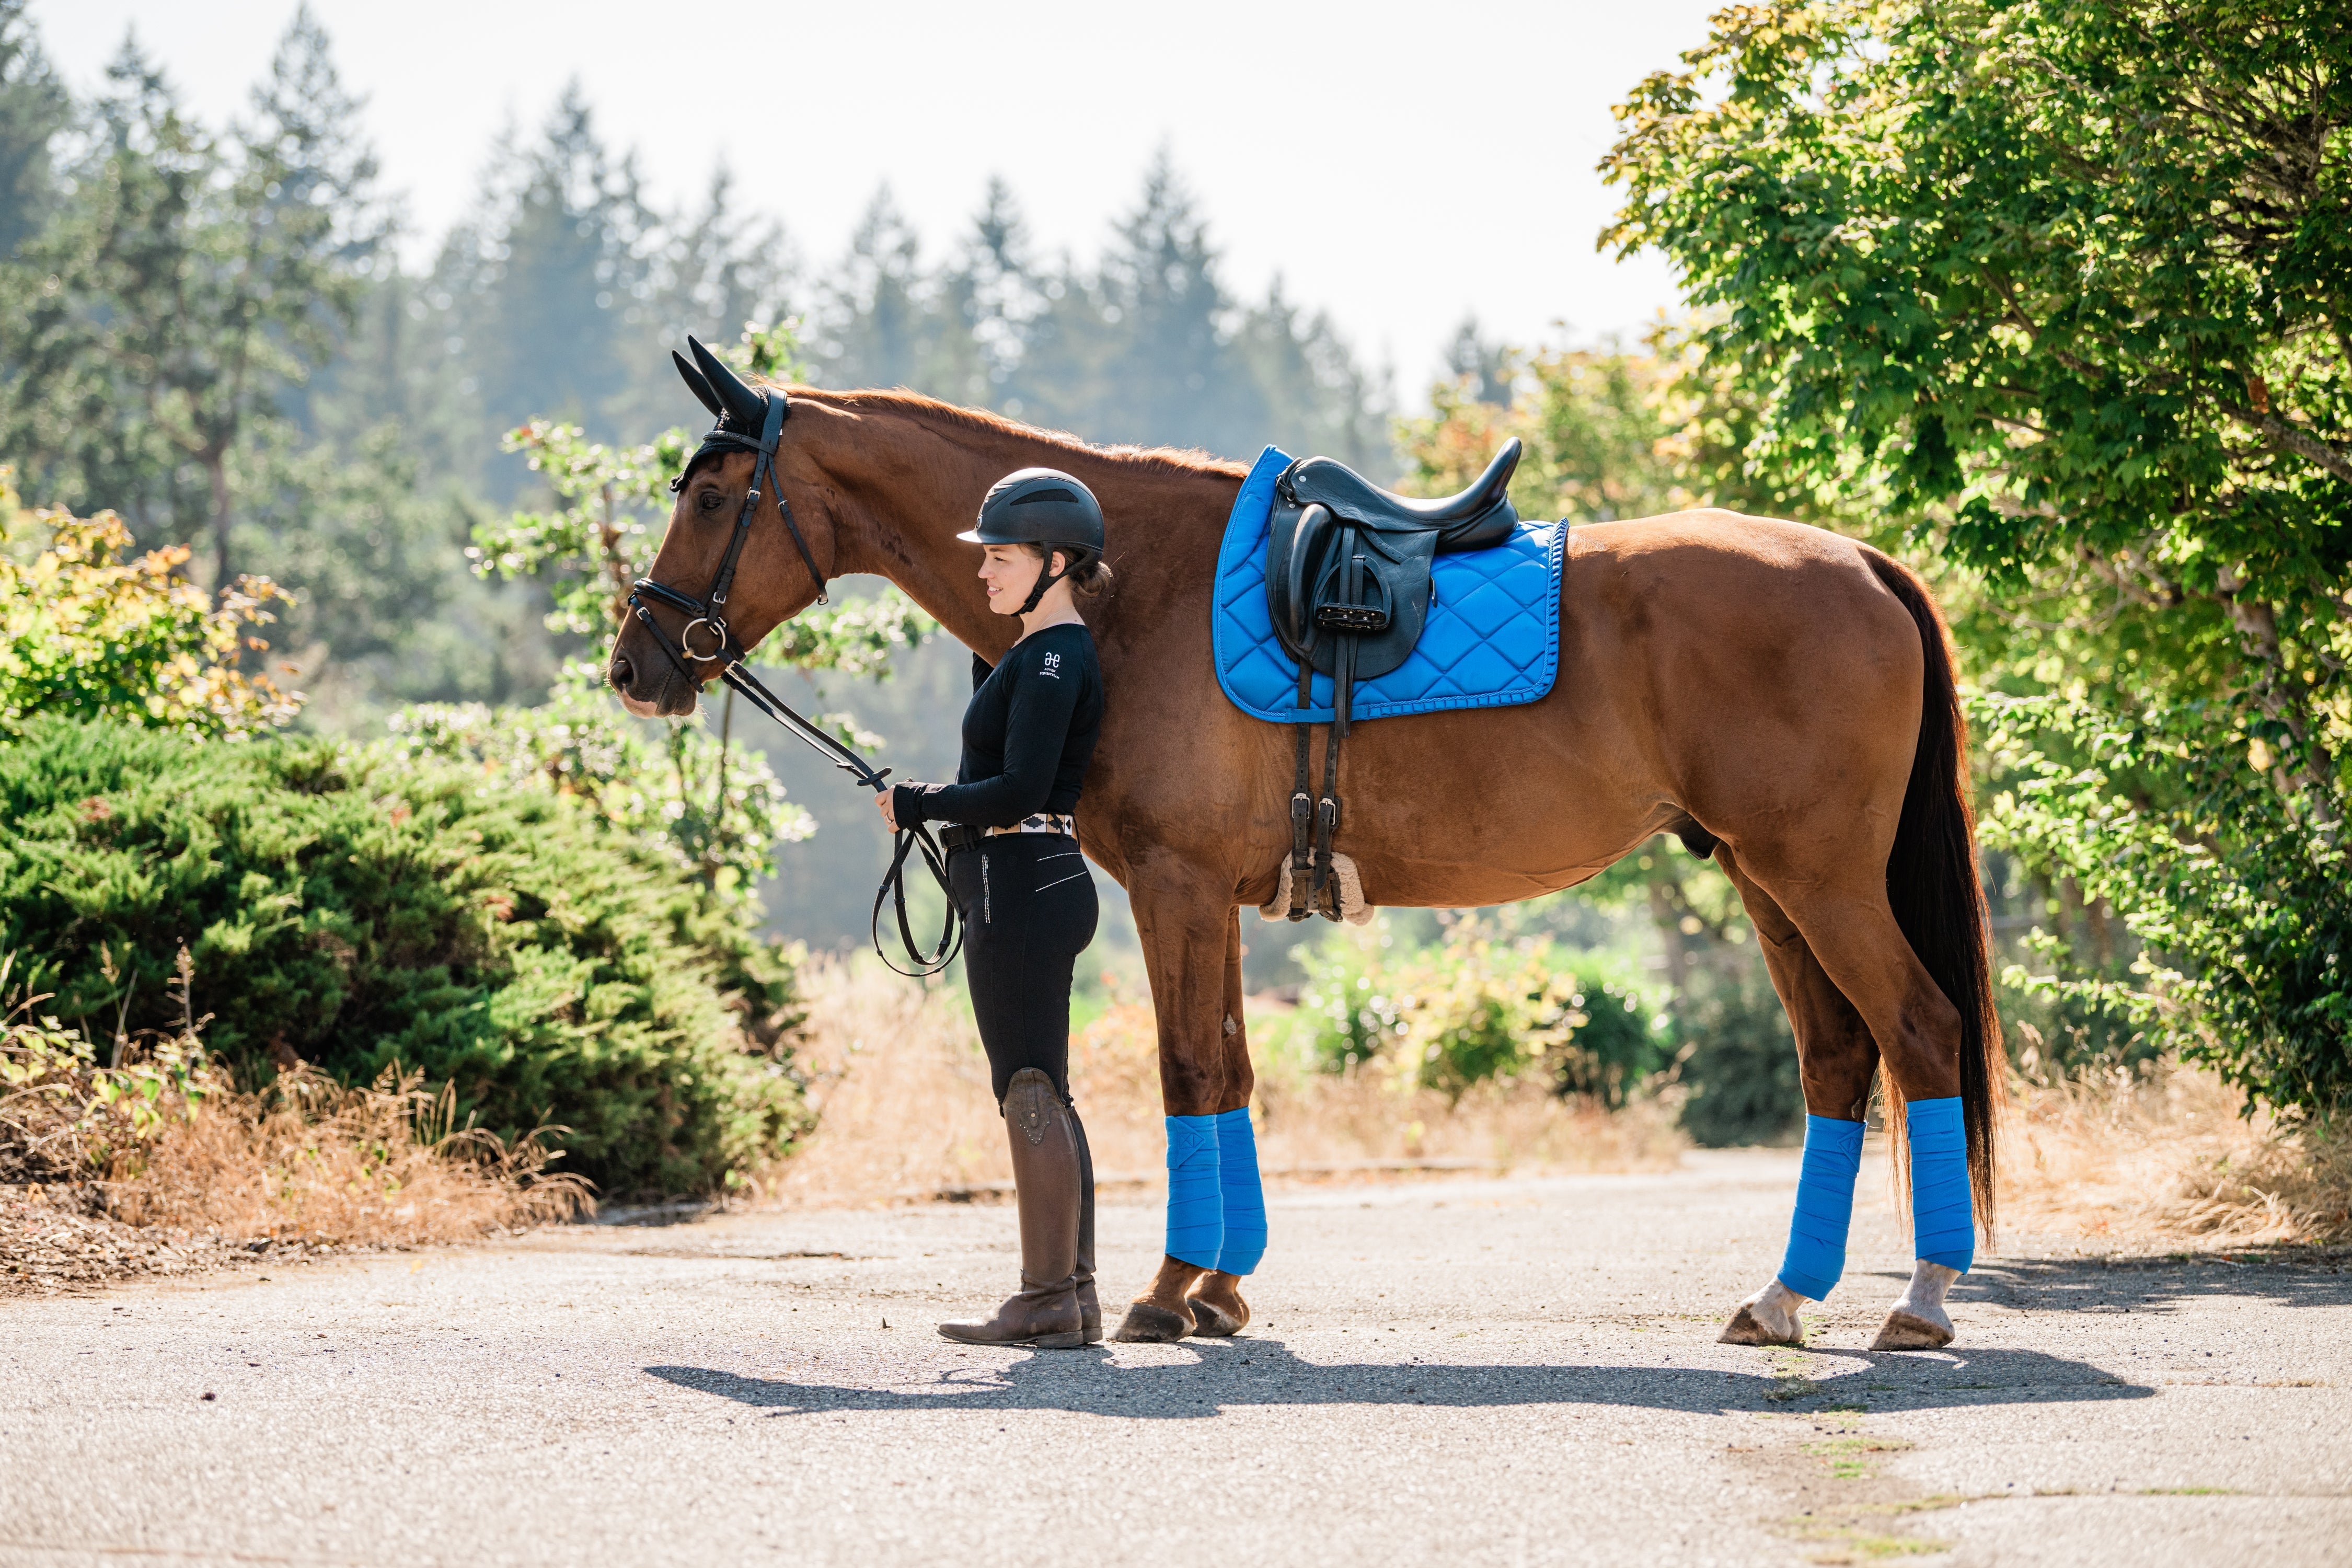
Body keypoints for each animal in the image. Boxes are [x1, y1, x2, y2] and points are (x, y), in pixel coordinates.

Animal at [612, 376, 2004, 1354]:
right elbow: (1230, 1072)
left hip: (1818, 879)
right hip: (1765, 884)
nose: (636, 663)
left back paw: (1921, 1300)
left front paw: (1166, 1291)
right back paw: (1781, 1298)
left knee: (1919, 1031)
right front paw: (1221, 1288)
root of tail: (1861, 561)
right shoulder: (1211, 900)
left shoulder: (1171, 889)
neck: (1135, 586)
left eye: (711, 494)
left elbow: (1184, 1074)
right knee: (1837, 1059)